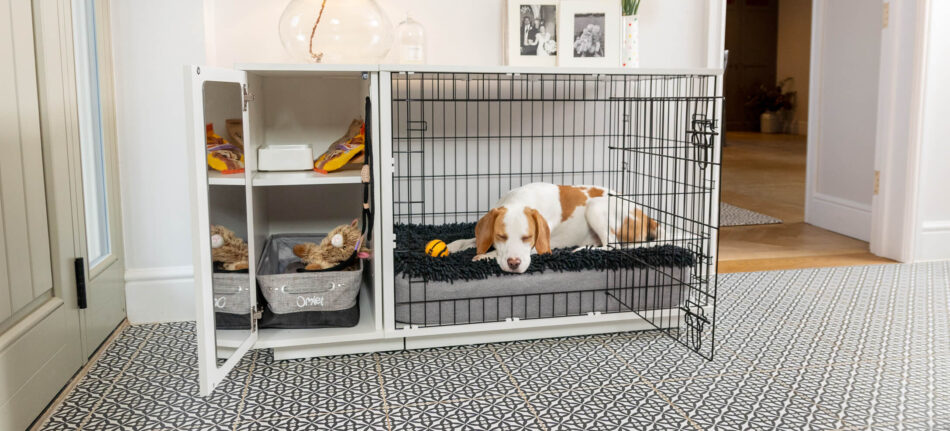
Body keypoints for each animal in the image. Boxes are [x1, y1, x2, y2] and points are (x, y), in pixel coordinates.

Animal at [448, 182, 660, 274]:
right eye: (501, 236)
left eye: (528, 237)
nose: (514, 264)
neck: (519, 201)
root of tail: (646, 216)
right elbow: (466, 240)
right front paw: (451, 247)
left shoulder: (539, 246)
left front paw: (485, 256)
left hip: (595, 206)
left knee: (613, 246)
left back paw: (584, 249)